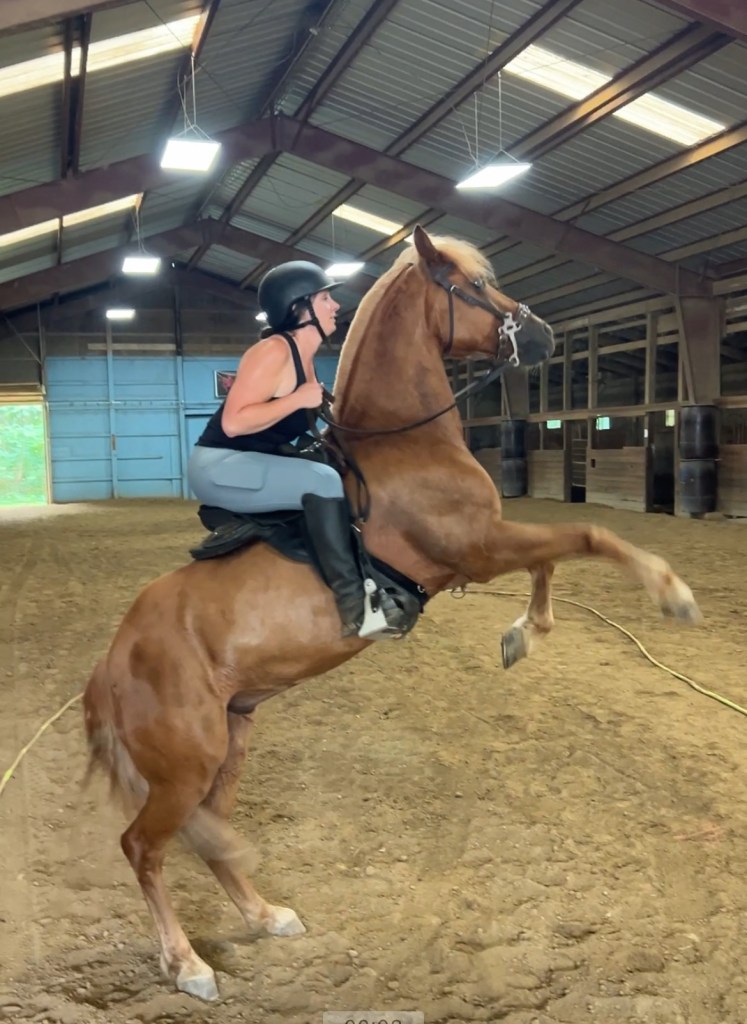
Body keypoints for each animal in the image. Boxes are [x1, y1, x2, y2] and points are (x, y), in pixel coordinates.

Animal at [83, 224, 700, 1001]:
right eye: (473, 285)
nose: (541, 334)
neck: (406, 441)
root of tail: (113, 659)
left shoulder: (484, 547)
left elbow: (553, 557)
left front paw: (522, 635)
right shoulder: (477, 547)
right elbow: (586, 537)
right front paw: (669, 592)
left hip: (228, 744)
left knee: (208, 839)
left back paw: (266, 915)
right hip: (185, 763)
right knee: (143, 846)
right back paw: (187, 963)